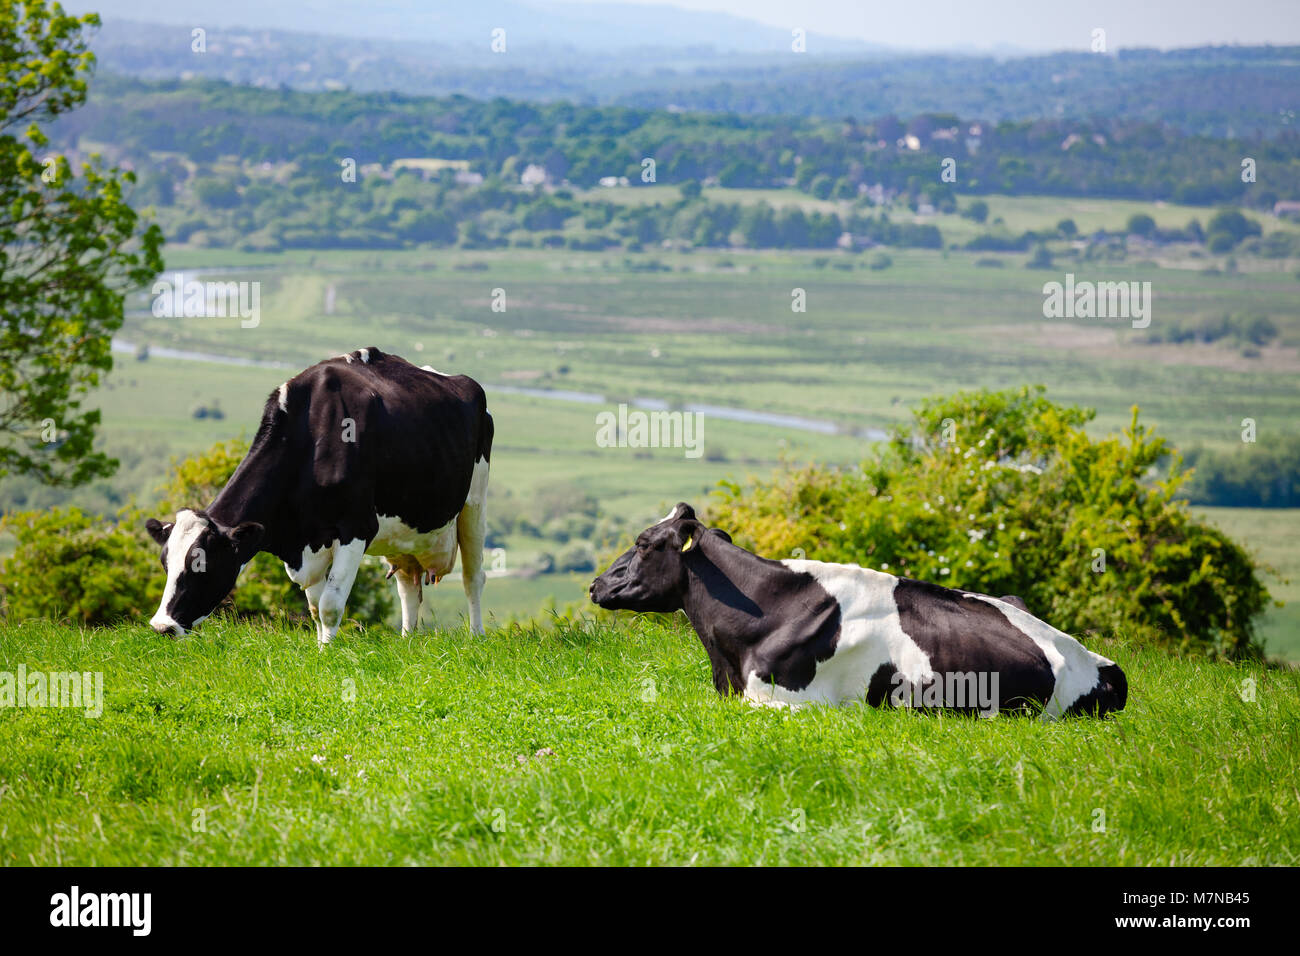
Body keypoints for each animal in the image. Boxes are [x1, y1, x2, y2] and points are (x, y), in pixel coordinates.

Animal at [145, 347, 493, 645]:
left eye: (200, 565)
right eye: (165, 564)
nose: (162, 627)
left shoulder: (356, 528)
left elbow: (330, 605)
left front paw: (327, 654)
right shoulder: (307, 542)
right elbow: (314, 609)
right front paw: (319, 647)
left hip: (475, 503)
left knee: (473, 576)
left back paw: (476, 637)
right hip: (405, 532)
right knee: (408, 585)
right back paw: (408, 641)